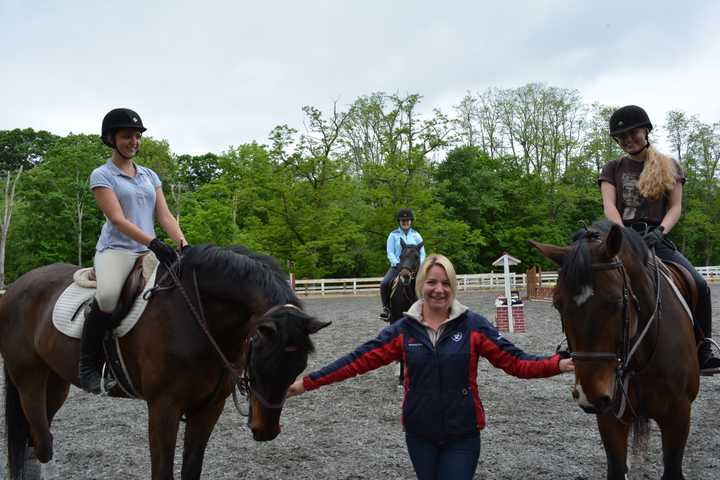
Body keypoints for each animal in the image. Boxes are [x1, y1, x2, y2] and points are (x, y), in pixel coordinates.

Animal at [0, 246, 330, 480]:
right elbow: (163, 472)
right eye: (261, 362)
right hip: (28, 381)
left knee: (33, 439)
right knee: (41, 441)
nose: (266, 431)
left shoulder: (209, 408)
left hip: (55, 383)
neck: (198, 316)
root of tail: (16, 287)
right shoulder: (163, 407)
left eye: (299, 367)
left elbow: (191, 471)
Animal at [528, 221, 696, 480]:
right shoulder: (610, 417)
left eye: (617, 302)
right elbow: (616, 468)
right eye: (557, 304)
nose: (589, 395)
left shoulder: (678, 417)